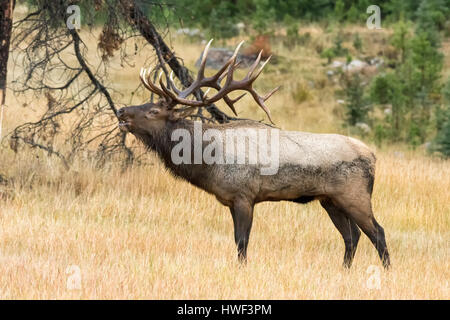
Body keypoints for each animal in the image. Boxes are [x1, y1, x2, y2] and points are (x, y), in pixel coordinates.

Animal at [118, 40, 388, 270]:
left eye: (153, 111)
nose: (121, 111)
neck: (209, 162)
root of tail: (373, 157)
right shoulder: (230, 200)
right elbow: (237, 239)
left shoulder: (244, 195)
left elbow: (242, 241)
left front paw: (242, 269)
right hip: (330, 200)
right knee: (352, 235)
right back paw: (345, 270)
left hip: (354, 194)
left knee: (377, 232)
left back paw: (386, 270)